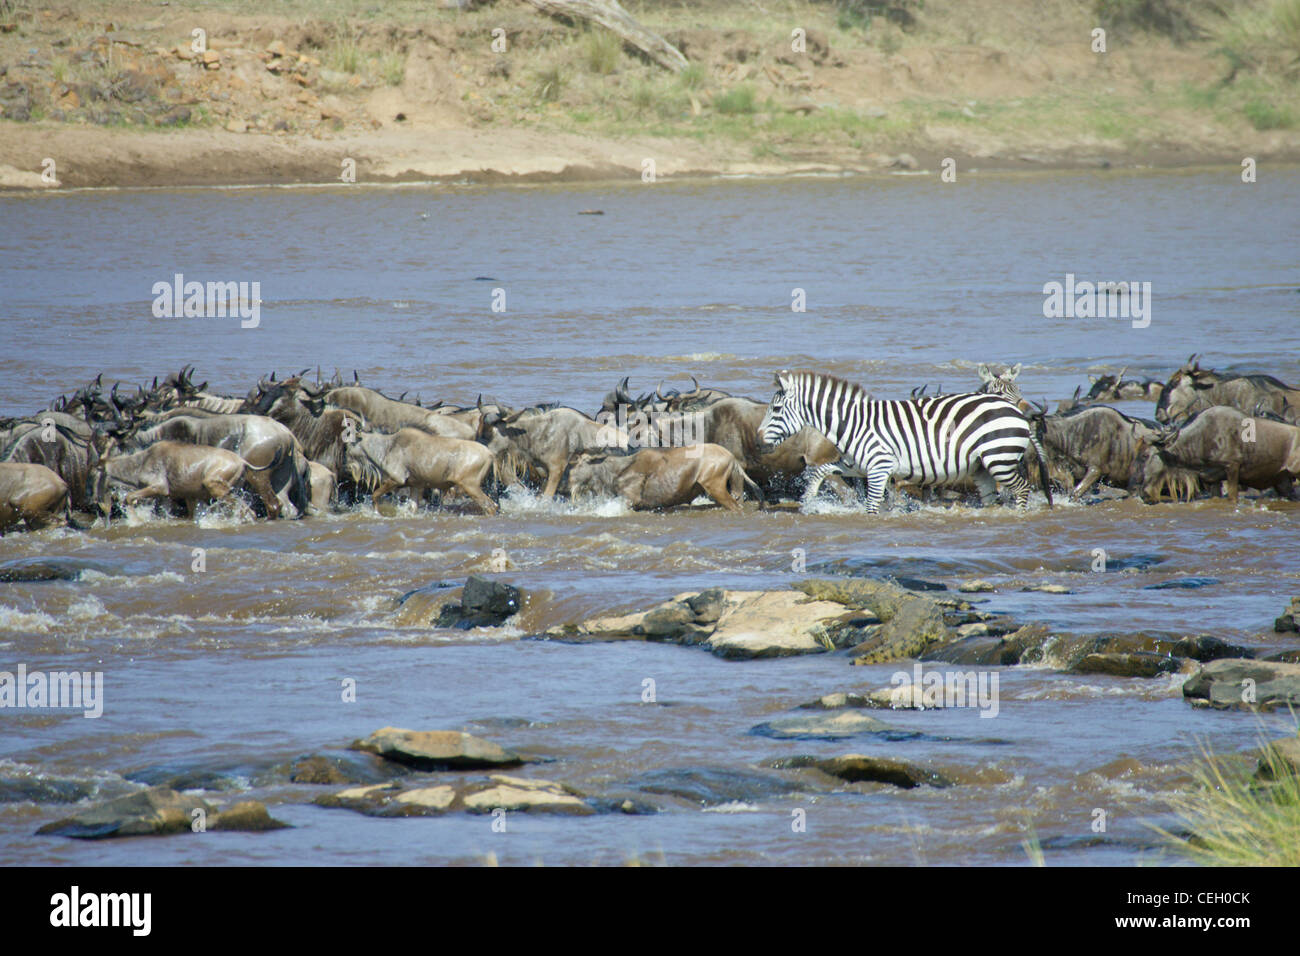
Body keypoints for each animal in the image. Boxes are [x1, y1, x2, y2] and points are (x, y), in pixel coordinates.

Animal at [759, 369, 1050, 515]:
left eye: (776, 410)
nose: (758, 439)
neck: (854, 423)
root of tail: (1016, 412)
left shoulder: (879, 468)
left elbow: (872, 505)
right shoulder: (857, 466)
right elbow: (820, 470)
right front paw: (809, 500)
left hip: (1000, 458)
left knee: (1022, 488)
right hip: (982, 467)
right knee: (992, 499)